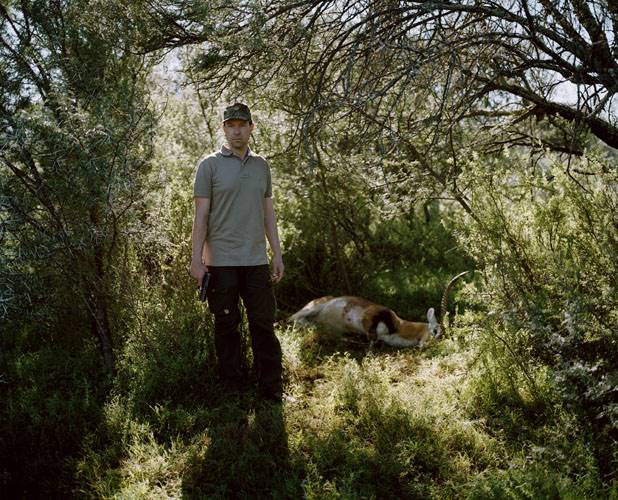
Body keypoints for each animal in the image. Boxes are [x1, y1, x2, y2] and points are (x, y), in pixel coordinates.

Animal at [288, 272, 466, 346]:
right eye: (436, 331)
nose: (431, 345)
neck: (398, 327)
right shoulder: (369, 316)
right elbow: (371, 339)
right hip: (310, 309)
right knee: (292, 319)